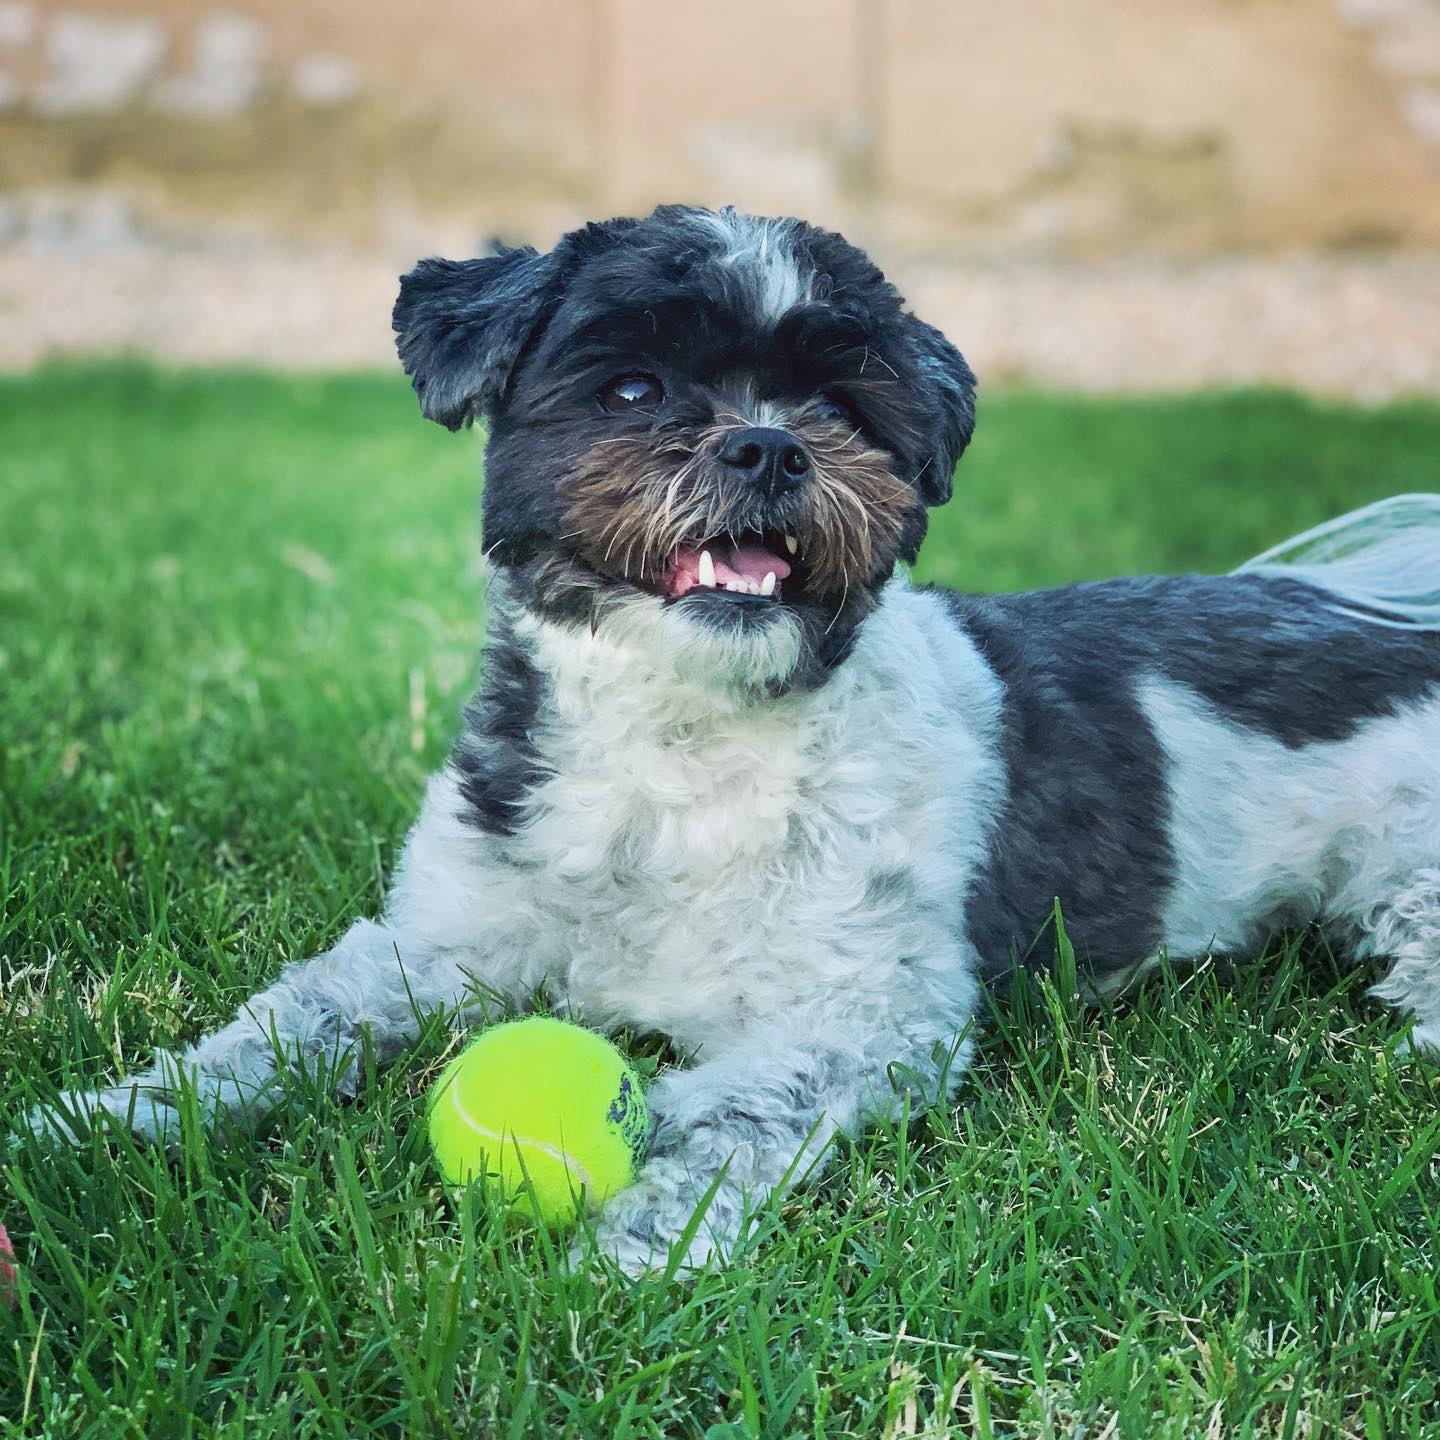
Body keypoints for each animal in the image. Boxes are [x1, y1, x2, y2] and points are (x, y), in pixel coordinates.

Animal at [28, 203, 1440, 1272]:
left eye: (840, 402)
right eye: (632, 383)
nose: (766, 445)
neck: (680, 746)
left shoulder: (875, 1011)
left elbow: (728, 1112)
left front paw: (626, 1249)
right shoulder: (440, 938)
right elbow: (287, 1024)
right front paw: (108, 1119)